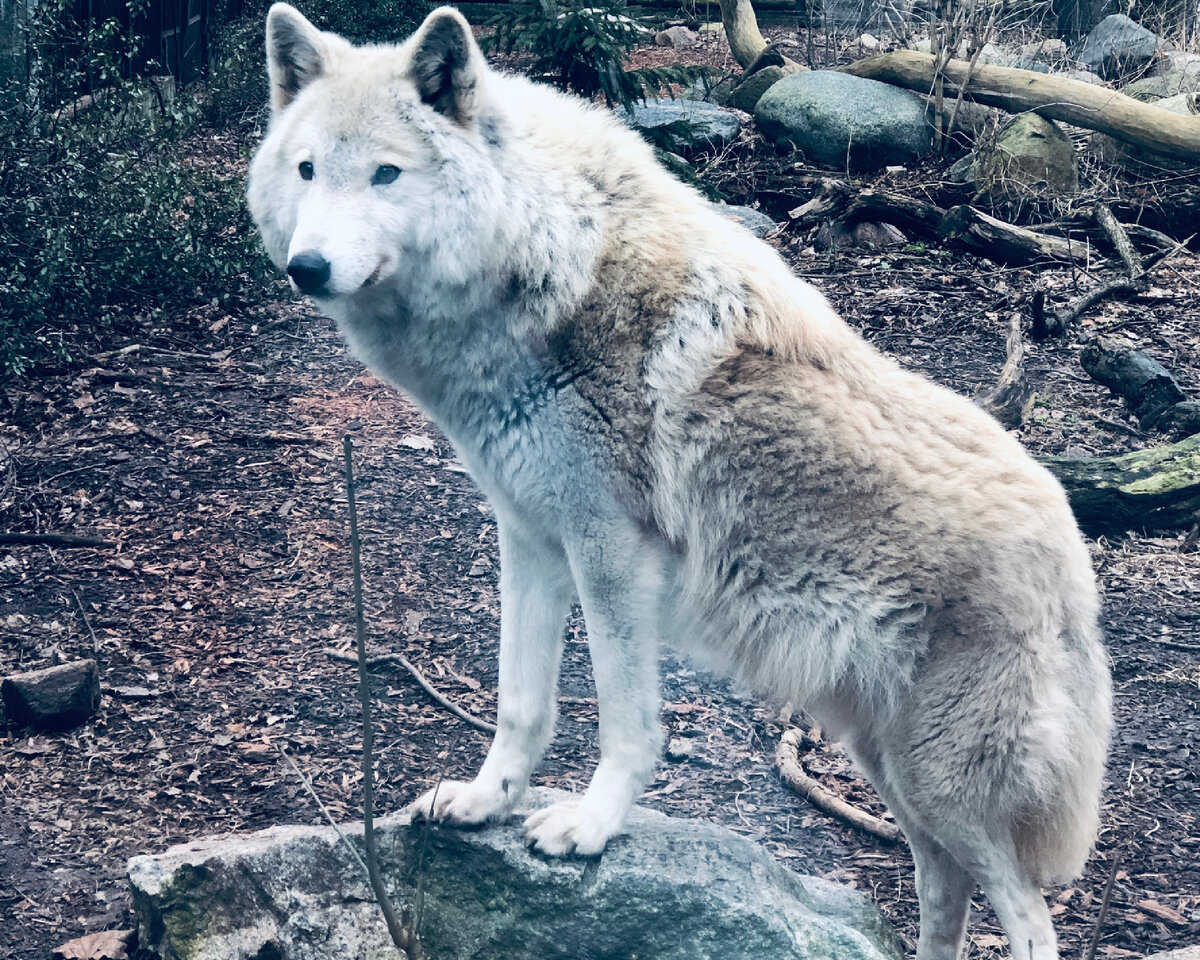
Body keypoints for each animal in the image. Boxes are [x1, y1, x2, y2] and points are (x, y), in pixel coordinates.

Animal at [247, 7, 1112, 958]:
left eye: (386, 172)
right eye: (308, 169)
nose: (305, 267)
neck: (544, 262)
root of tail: (1073, 556)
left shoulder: (611, 553)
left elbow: (625, 718)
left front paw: (590, 827)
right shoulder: (530, 539)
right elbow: (521, 702)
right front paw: (485, 803)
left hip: (945, 785)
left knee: (1029, 916)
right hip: (891, 771)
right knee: (941, 888)